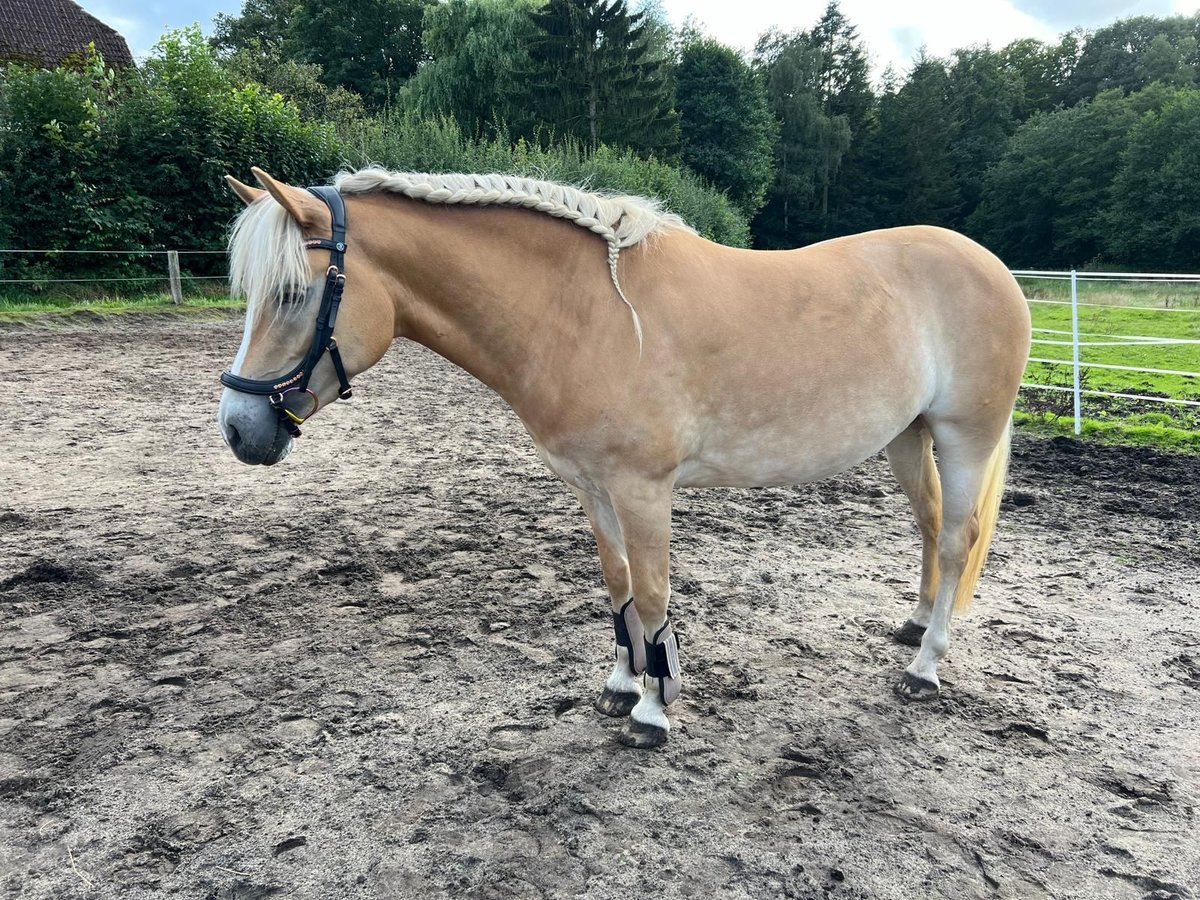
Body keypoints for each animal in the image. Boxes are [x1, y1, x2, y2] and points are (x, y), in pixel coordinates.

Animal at [216, 169, 1032, 753]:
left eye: (291, 294)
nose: (238, 430)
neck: (585, 317)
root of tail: (990, 265)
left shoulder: (644, 490)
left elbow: (653, 591)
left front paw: (652, 713)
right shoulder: (591, 486)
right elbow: (618, 586)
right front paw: (618, 683)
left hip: (965, 434)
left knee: (957, 540)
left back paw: (924, 669)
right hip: (907, 435)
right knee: (930, 525)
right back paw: (915, 624)